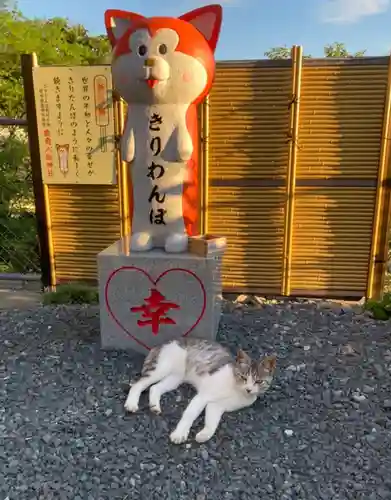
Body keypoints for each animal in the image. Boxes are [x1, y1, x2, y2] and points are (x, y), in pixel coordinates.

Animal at [124, 338, 278, 444]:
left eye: (259, 382)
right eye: (243, 377)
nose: (249, 389)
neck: (236, 391)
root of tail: (162, 344)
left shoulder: (217, 406)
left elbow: (212, 423)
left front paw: (203, 435)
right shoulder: (203, 396)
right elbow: (190, 414)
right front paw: (180, 434)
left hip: (175, 378)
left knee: (155, 387)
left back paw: (155, 406)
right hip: (162, 368)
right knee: (138, 384)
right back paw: (131, 404)